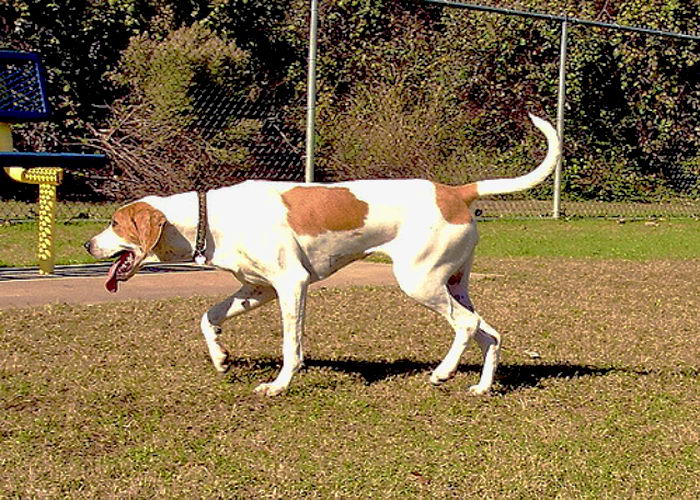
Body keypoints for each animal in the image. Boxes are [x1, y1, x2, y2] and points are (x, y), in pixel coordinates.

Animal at [85, 112, 560, 394]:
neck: (210, 217)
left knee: (467, 325)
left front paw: (278, 385)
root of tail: (456, 191)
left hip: (420, 282)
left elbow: (291, 345)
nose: (87, 244)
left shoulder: (291, 285)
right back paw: (480, 387)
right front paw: (220, 357)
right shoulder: (258, 290)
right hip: (453, 284)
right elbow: (208, 317)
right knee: (489, 332)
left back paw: (442, 372)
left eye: (114, 223)